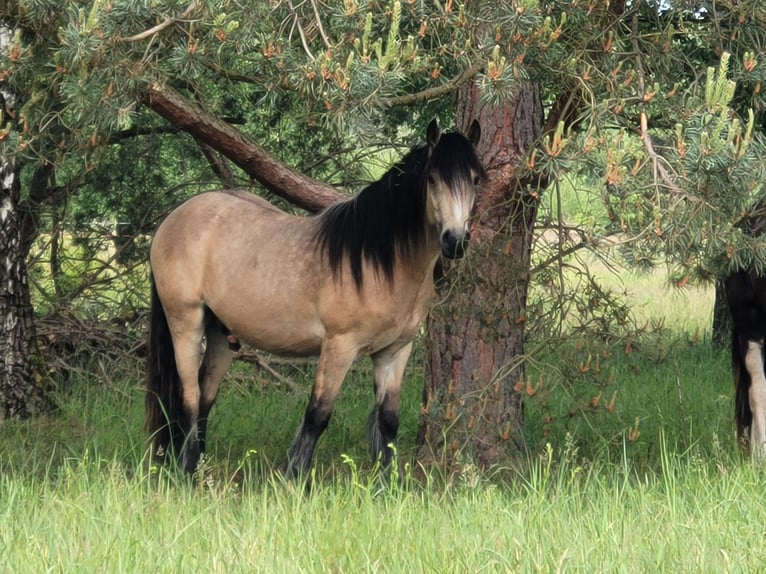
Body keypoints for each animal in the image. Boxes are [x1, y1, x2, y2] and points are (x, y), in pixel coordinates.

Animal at [146, 119, 485, 476]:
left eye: (475, 179)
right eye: (432, 179)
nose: (455, 241)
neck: (381, 262)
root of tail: (173, 219)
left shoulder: (394, 352)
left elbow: (388, 421)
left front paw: (387, 482)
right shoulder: (339, 346)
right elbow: (317, 415)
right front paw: (292, 477)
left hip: (222, 334)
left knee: (205, 398)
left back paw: (199, 470)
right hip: (186, 323)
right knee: (188, 397)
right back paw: (185, 471)